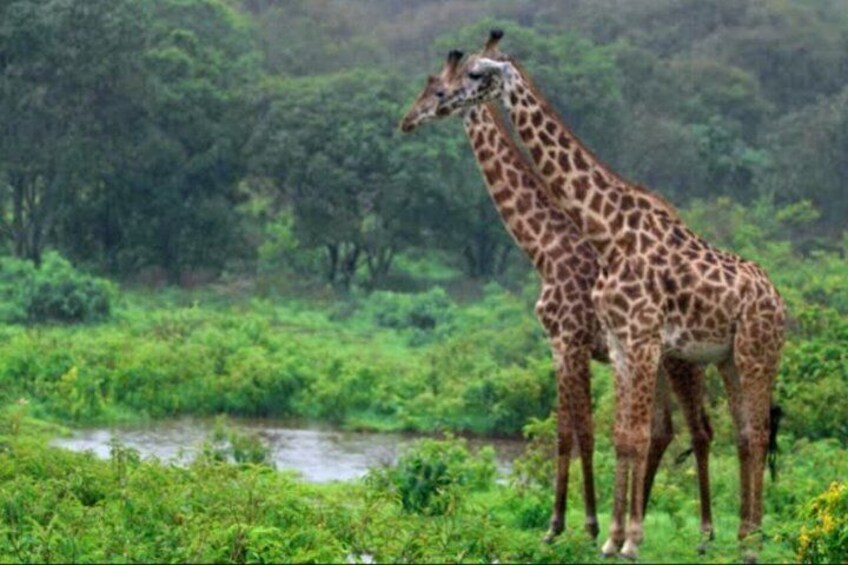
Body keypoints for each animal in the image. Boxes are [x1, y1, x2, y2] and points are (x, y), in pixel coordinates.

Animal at [426, 31, 786, 560]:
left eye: (472, 74)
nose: (431, 106)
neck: (608, 232)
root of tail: (780, 301)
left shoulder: (617, 340)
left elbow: (613, 433)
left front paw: (612, 536)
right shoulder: (618, 344)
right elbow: (620, 435)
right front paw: (613, 537)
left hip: (751, 354)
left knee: (749, 432)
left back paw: (744, 542)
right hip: (726, 359)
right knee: (740, 434)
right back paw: (740, 535)